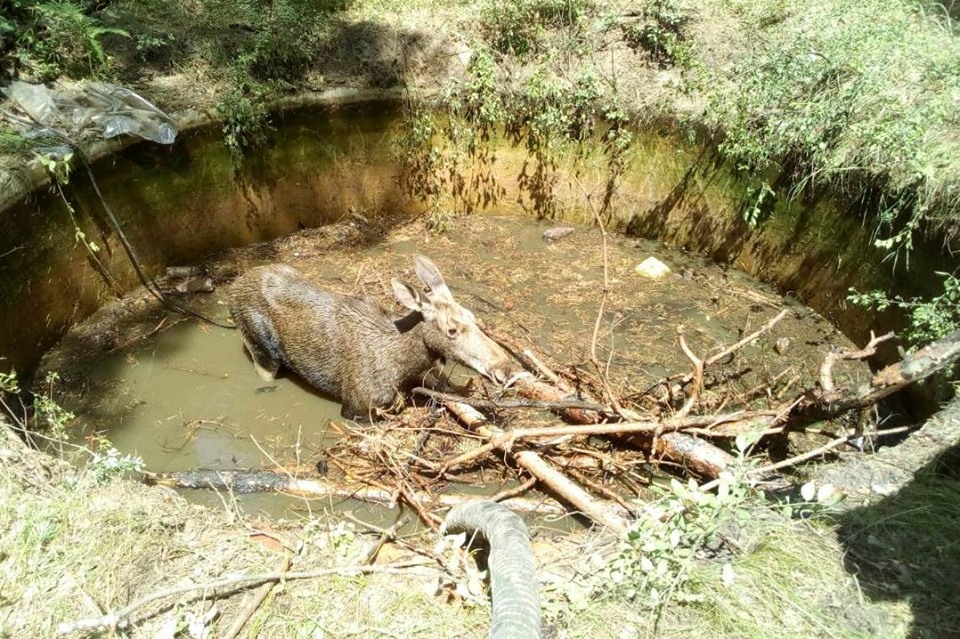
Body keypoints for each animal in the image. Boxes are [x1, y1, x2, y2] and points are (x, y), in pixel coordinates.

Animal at [229, 255, 512, 420]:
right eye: (451, 330)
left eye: (473, 317)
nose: (504, 369)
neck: (405, 363)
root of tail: (233, 287)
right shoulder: (357, 406)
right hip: (262, 348)